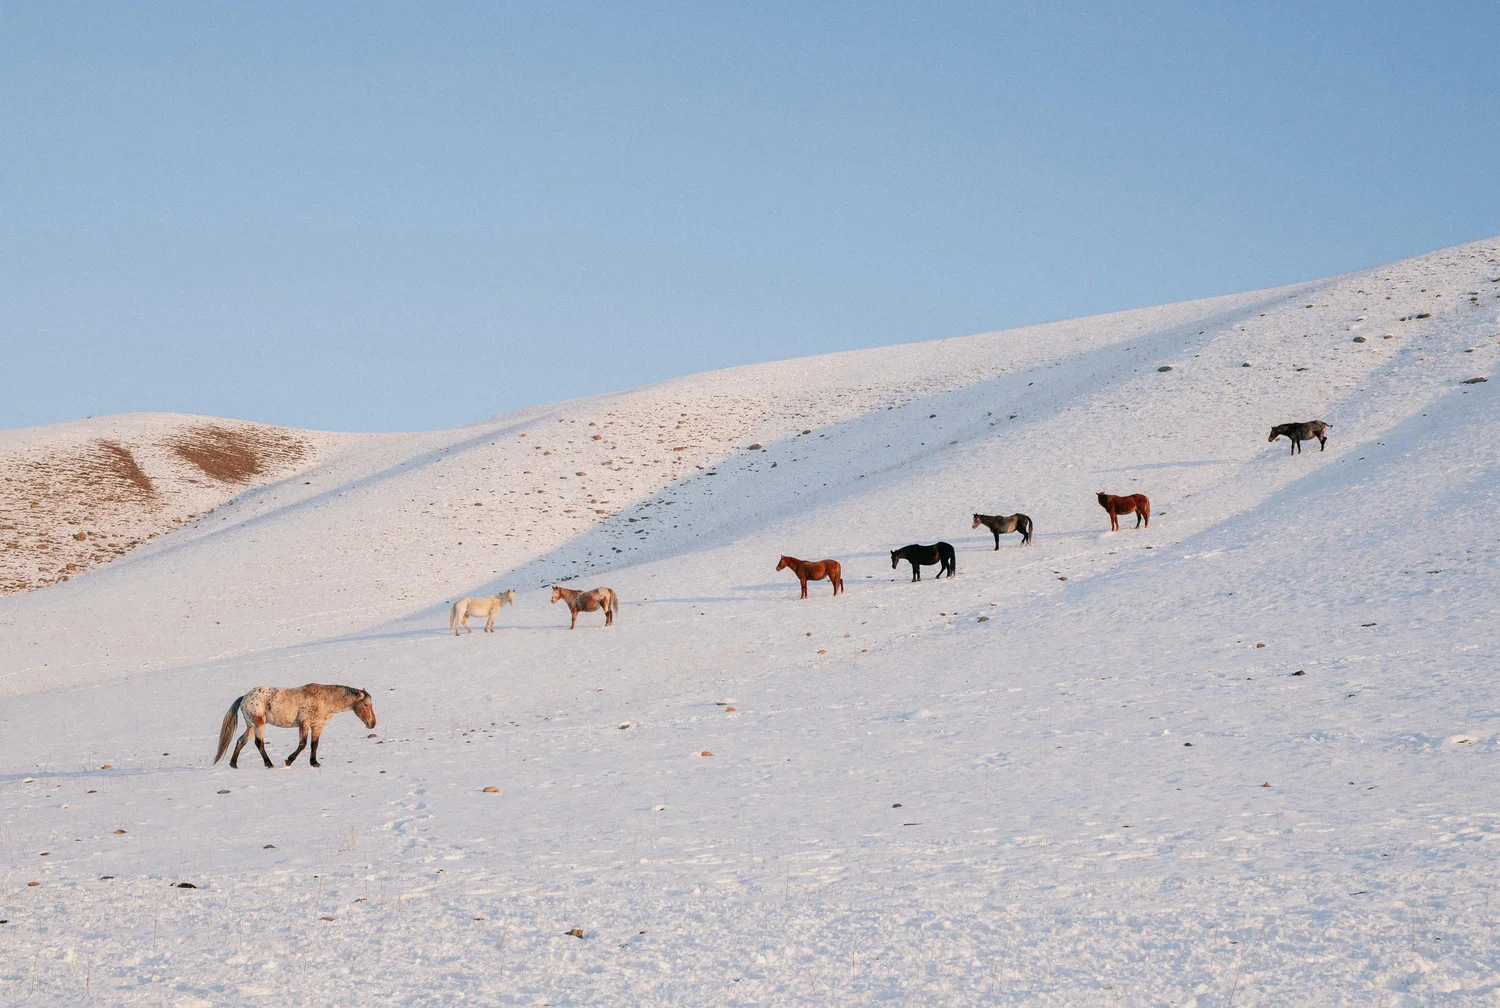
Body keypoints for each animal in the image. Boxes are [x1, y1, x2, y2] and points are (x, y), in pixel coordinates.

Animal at [214, 684, 376, 769]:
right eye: (366, 705)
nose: (372, 724)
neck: (324, 699)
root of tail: (244, 697)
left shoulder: (317, 726)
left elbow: (314, 745)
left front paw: (314, 763)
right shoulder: (304, 723)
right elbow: (302, 744)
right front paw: (288, 761)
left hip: (252, 727)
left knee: (241, 741)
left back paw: (233, 764)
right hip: (258, 725)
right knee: (259, 743)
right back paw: (269, 764)